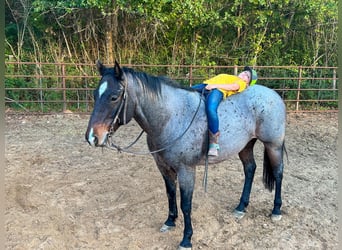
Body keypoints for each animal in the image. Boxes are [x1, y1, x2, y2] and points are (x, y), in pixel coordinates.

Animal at [85, 61, 286, 250]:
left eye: (114, 97)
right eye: (95, 94)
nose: (92, 137)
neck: (170, 118)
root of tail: (274, 95)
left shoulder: (186, 170)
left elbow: (186, 205)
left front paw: (186, 239)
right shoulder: (163, 167)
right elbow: (170, 194)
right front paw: (170, 221)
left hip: (273, 145)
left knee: (278, 173)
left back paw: (276, 210)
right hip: (245, 146)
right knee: (250, 169)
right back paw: (241, 207)